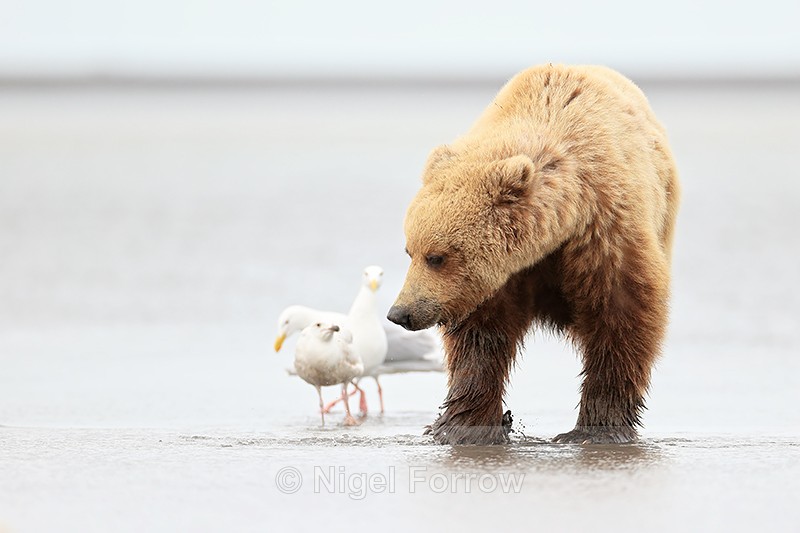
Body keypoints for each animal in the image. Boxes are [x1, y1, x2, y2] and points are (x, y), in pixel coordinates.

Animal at [387, 64, 680, 445]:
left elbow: (620, 319)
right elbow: (481, 339)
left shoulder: (604, 235)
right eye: (410, 250)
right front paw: (463, 426)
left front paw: (596, 429)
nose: (400, 313)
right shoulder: (499, 277)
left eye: (436, 256)